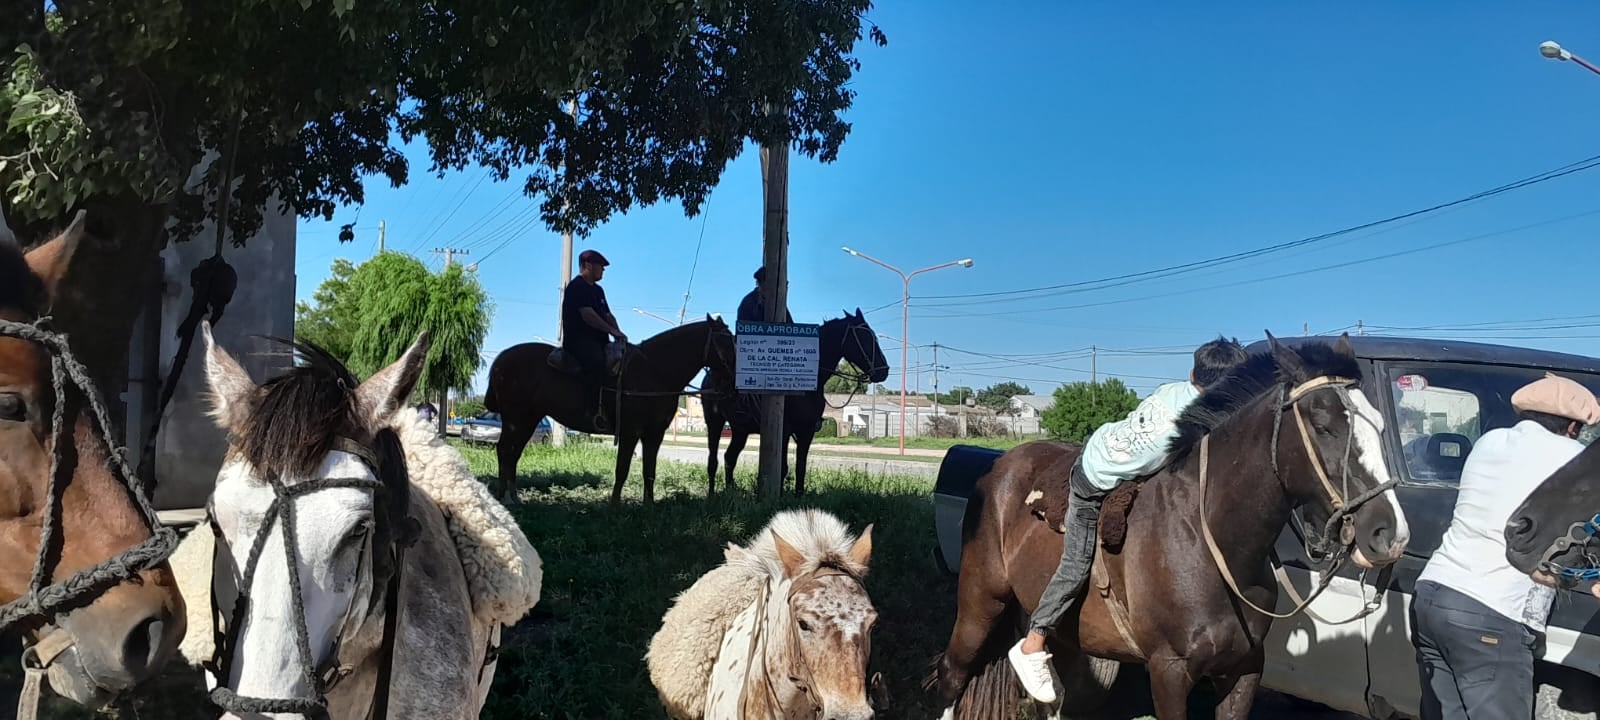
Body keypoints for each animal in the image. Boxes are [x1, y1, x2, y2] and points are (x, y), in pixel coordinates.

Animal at [483, 315, 739, 505]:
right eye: (726, 340)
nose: (736, 378)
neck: (655, 372)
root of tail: (501, 361)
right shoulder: (630, 432)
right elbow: (622, 469)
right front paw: (615, 506)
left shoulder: (654, 435)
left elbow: (649, 470)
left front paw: (649, 506)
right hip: (515, 419)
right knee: (504, 450)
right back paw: (504, 499)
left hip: (528, 420)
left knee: (513, 453)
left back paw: (514, 498)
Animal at [707, 310, 896, 499]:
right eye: (865, 337)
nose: (884, 370)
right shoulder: (784, 432)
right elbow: (783, 469)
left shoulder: (807, 432)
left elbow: (801, 467)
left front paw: (799, 497)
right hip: (715, 423)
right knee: (714, 460)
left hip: (740, 430)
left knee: (729, 457)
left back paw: (730, 491)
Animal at [934, 334, 1408, 720]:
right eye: (1324, 425)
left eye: (1381, 424)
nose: (1388, 534)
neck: (1209, 542)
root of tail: (999, 465)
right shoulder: (1169, 670)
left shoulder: (1244, 670)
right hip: (980, 601)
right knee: (953, 675)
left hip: (1066, 638)